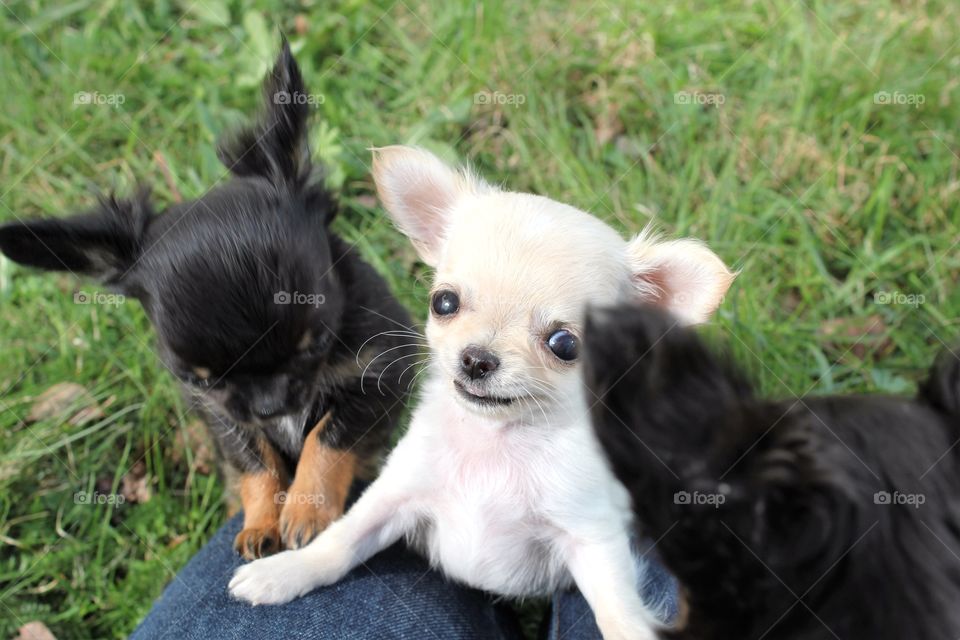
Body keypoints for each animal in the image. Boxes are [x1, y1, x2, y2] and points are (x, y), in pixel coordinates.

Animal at [0, 42, 414, 556]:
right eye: (201, 380)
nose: (269, 407)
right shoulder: (223, 415)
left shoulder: (381, 373)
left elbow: (326, 437)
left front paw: (306, 511)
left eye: (316, 345)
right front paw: (261, 522)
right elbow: (256, 461)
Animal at [231, 146, 736, 640]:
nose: (477, 359)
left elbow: (617, 610)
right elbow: (340, 542)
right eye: (444, 302)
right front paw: (284, 572)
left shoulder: (592, 538)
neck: (494, 440)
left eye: (565, 345)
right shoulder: (394, 496)